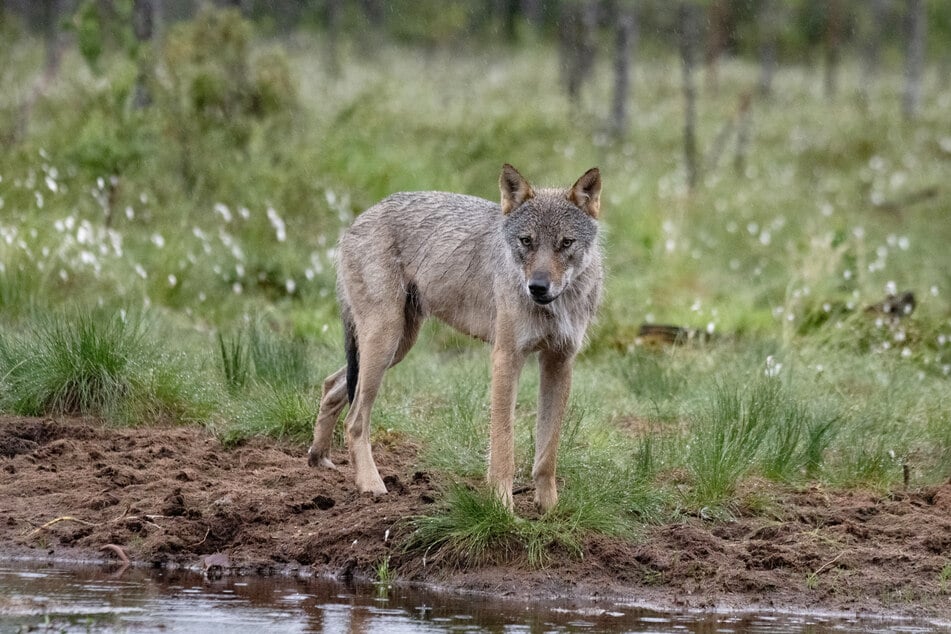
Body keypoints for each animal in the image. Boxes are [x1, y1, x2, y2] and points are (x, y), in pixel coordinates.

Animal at [308, 163, 608, 508]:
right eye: (526, 241)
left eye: (566, 243)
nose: (537, 287)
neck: (555, 307)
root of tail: (357, 219)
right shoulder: (506, 358)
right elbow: (503, 447)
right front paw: (502, 508)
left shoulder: (559, 362)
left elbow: (547, 453)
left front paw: (550, 511)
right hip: (384, 342)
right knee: (355, 419)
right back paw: (370, 484)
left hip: (396, 346)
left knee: (331, 385)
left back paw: (318, 459)